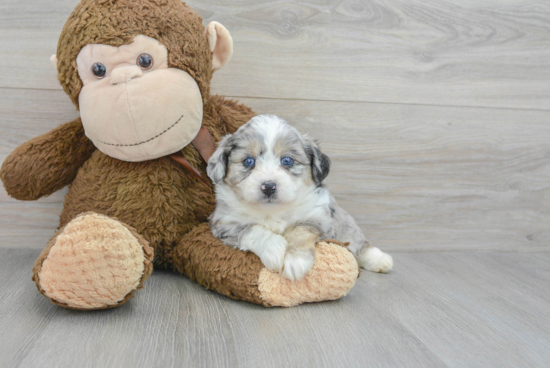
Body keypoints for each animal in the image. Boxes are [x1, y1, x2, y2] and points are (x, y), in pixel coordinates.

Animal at [207, 115, 392, 282]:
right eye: (248, 161)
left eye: (287, 160)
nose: (269, 186)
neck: (272, 210)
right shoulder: (224, 224)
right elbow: (253, 229)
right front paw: (275, 249)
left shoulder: (318, 218)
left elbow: (300, 231)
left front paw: (295, 262)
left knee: (360, 243)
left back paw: (381, 260)